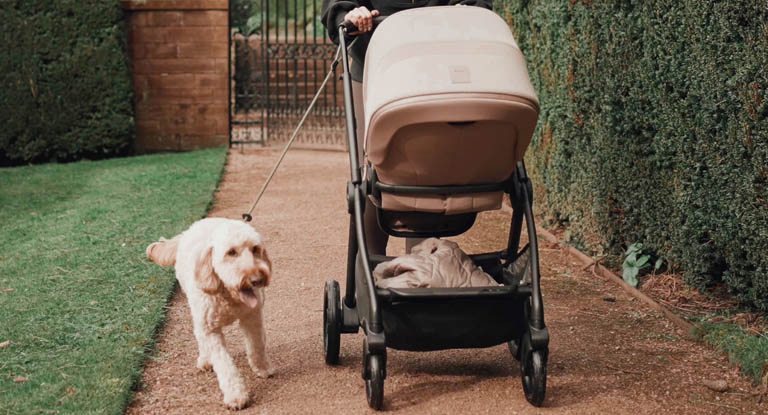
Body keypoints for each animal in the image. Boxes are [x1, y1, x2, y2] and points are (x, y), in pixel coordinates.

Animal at [146, 218, 274, 410]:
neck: (228, 295)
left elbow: (256, 346)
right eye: (231, 252)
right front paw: (236, 395)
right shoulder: (210, 330)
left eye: (255, 249)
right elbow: (224, 364)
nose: (256, 280)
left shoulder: (252, 318)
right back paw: (205, 360)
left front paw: (262, 368)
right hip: (198, 314)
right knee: (200, 336)